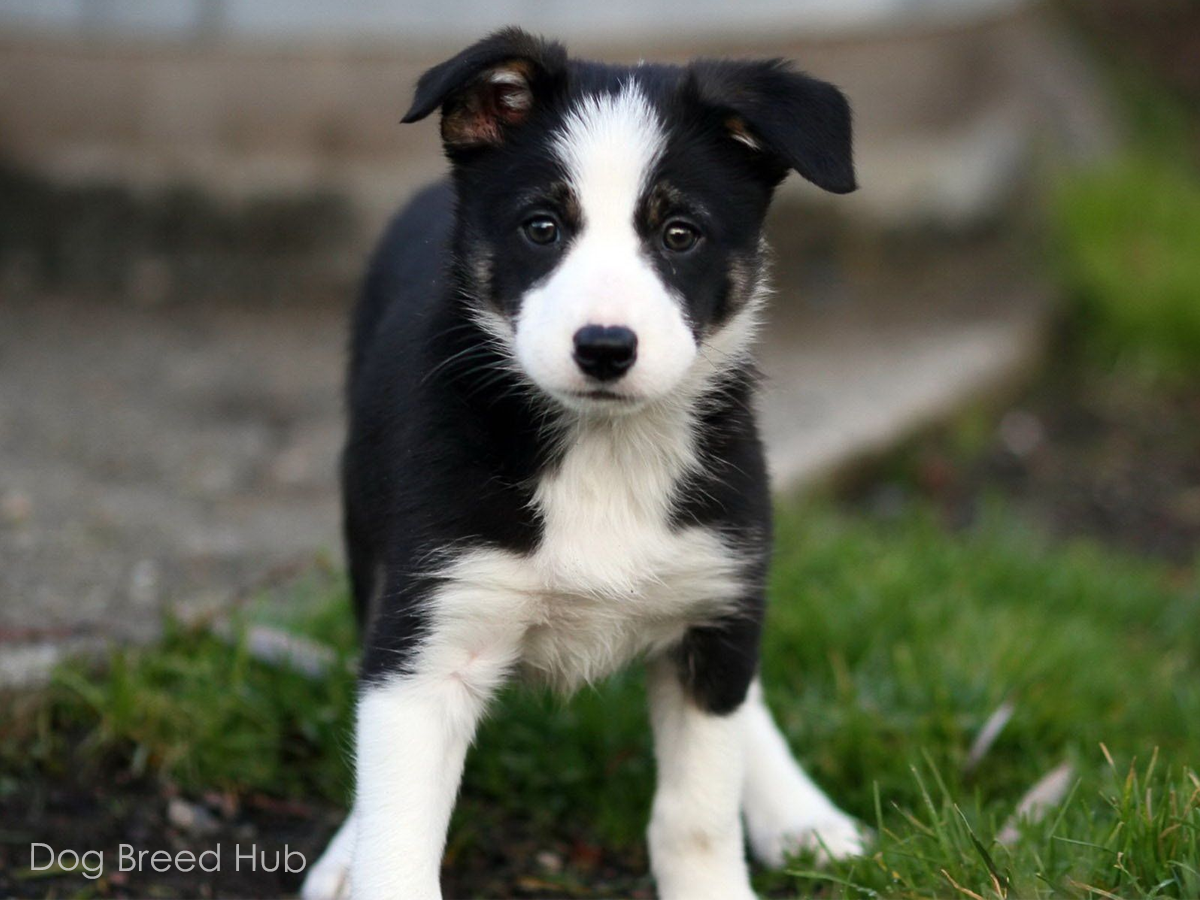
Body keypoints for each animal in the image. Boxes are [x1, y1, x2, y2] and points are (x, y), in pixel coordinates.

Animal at [300, 28, 864, 900]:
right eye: (541, 228)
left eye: (679, 234)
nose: (604, 347)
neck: (605, 450)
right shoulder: (431, 635)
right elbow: (398, 832)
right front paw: (363, 858)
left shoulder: (715, 599)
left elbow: (698, 812)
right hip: (369, 532)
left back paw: (799, 810)